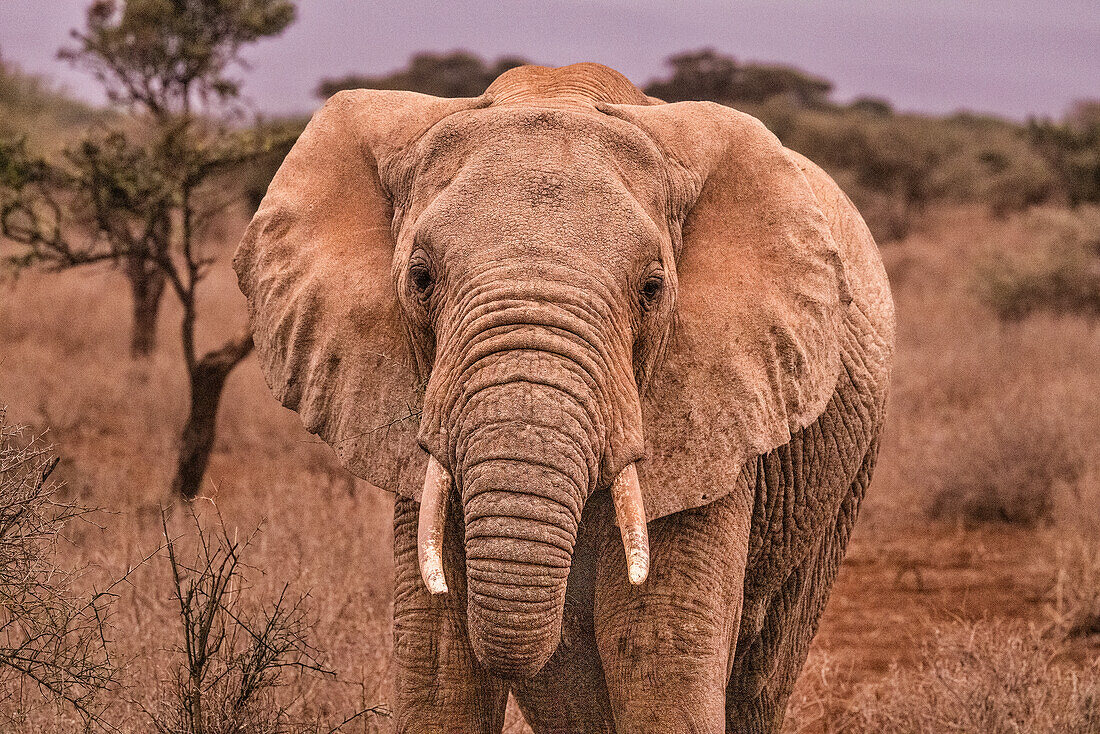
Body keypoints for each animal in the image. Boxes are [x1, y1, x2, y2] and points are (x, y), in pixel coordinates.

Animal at [232, 64, 893, 734]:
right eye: (420, 278)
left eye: (652, 289)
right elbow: (438, 655)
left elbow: (659, 645)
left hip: (843, 482)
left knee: (763, 668)